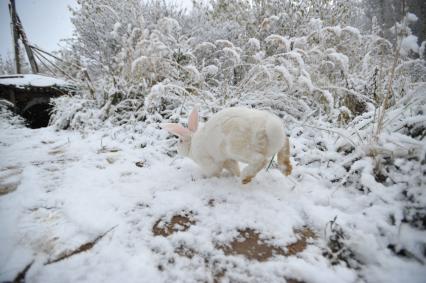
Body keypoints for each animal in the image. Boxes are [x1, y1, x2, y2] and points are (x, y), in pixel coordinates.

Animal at [161, 106, 292, 184]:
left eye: (180, 141)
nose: (177, 149)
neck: (192, 144)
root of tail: (267, 130)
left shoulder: (209, 161)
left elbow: (213, 171)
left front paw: (210, 178)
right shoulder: (227, 160)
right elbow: (233, 167)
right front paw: (235, 174)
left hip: (238, 149)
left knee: (260, 160)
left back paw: (245, 178)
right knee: (284, 142)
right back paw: (286, 169)